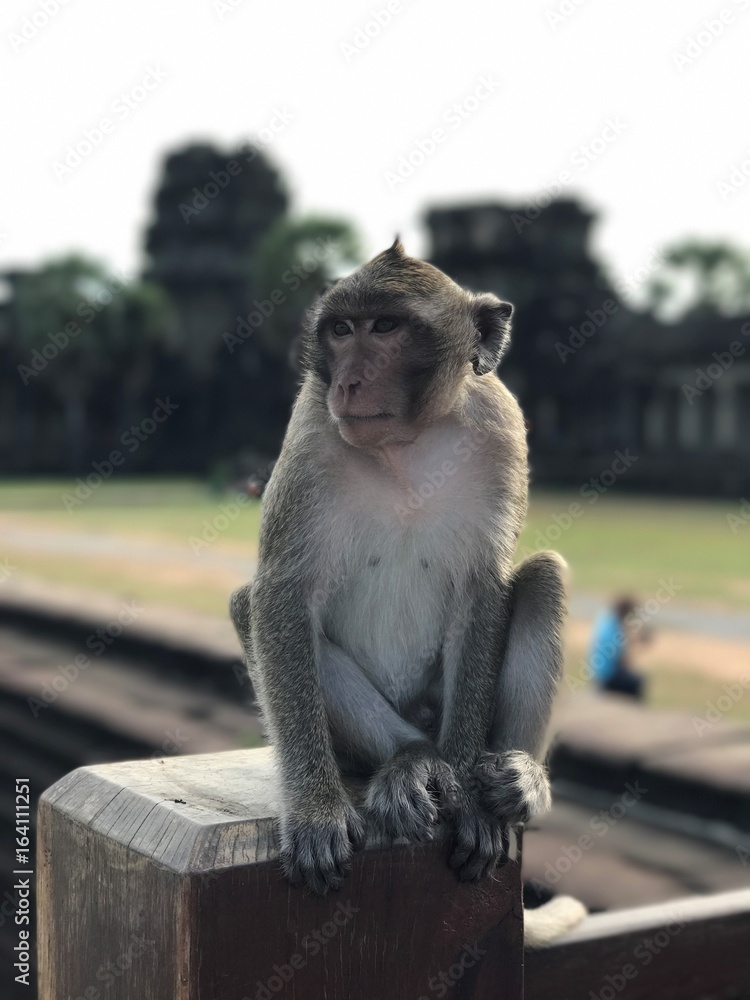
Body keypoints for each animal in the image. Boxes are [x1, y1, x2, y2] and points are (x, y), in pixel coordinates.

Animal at [230, 239, 571, 911]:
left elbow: (483, 588)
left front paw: (469, 798)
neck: (405, 445)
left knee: (543, 578)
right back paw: (411, 762)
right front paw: (315, 810)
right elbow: (281, 593)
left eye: (386, 327)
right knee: (250, 606)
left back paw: (514, 780)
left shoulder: (502, 430)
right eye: (341, 330)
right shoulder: (311, 432)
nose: (348, 382)